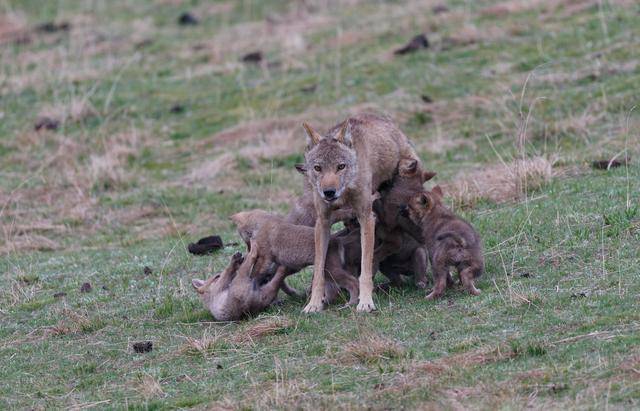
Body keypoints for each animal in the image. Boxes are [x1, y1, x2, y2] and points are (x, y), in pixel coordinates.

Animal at [300, 112, 420, 312]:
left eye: (341, 166)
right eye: (317, 168)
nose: (329, 192)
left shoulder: (366, 218)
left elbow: (365, 267)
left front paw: (365, 302)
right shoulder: (323, 222)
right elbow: (318, 271)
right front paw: (314, 304)